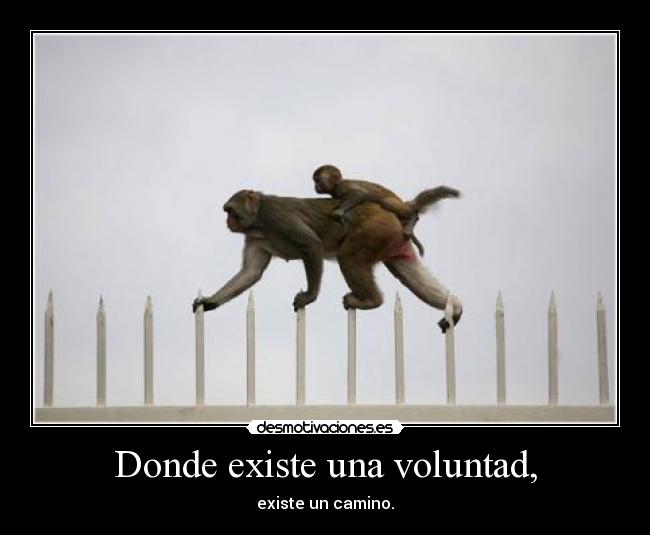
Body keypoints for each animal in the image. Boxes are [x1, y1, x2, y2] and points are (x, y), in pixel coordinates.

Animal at [192, 188, 462, 333]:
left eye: (230, 210)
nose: (227, 221)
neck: (259, 221)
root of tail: (394, 213)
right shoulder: (254, 238)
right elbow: (251, 272)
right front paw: (210, 301)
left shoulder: (279, 218)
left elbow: (312, 246)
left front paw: (309, 297)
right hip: (393, 241)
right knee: (408, 274)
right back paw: (455, 307)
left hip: (375, 230)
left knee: (348, 256)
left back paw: (371, 301)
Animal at [312, 164, 461, 258]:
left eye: (318, 180)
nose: (315, 186)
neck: (336, 185)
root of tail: (405, 203)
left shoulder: (342, 187)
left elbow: (359, 194)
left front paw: (339, 212)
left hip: (397, 203)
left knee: (387, 203)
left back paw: (412, 217)